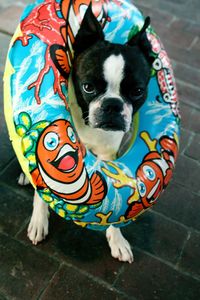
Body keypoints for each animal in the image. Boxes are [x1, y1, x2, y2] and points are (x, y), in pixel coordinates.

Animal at [21, 4, 154, 262]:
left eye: (138, 91)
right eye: (88, 87)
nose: (112, 105)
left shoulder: (107, 155)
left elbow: (117, 202)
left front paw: (117, 238)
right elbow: (42, 188)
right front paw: (39, 220)